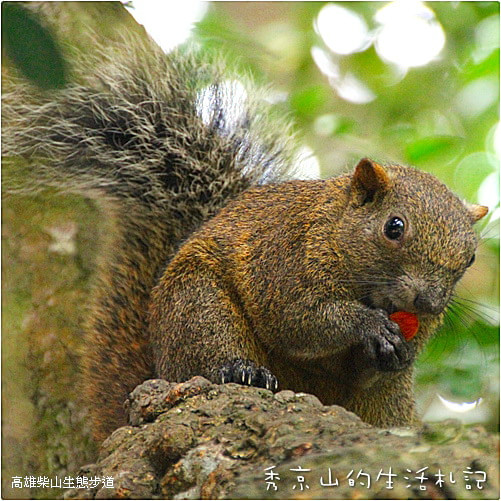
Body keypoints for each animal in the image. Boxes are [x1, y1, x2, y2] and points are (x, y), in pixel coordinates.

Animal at [2, 37, 488, 442]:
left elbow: (365, 370)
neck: (334, 235)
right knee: (207, 356)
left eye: (470, 258)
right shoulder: (282, 258)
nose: (429, 302)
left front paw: (391, 352)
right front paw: (367, 326)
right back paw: (240, 372)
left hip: (388, 402)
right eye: (394, 227)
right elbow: (300, 320)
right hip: (197, 308)